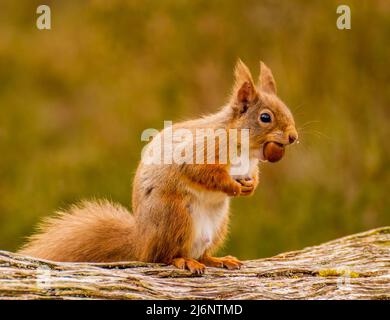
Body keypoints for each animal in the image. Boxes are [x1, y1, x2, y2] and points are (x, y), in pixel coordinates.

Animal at [19, 60, 298, 276]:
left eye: (288, 110)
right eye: (265, 117)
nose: (293, 137)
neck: (245, 146)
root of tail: (141, 241)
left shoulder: (250, 166)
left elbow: (253, 176)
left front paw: (251, 187)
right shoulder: (200, 152)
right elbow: (204, 173)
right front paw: (233, 186)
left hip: (218, 224)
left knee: (202, 253)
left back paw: (216, 259)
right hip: (175, 215)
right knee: (163, 256)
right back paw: (183, 260)